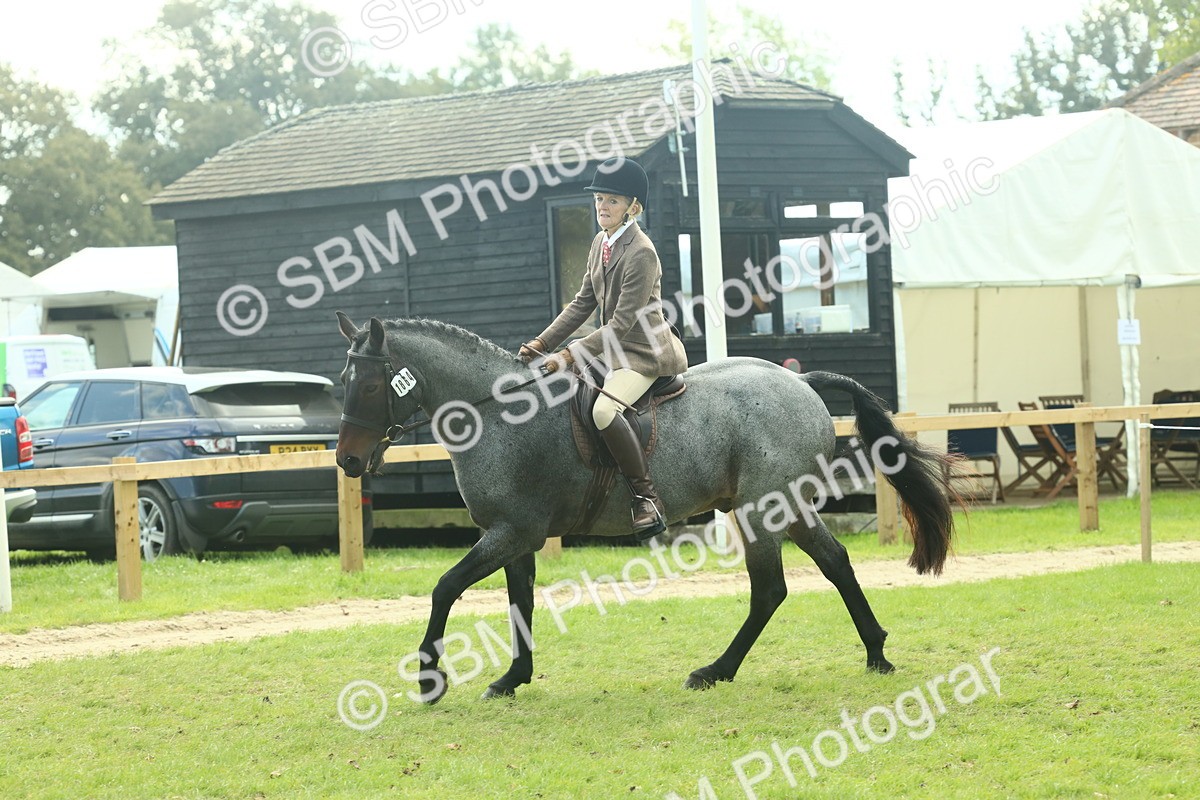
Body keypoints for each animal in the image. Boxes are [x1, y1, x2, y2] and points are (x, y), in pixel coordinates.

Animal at [334, 312, 955, 703]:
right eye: (344, 380)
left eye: (370, 386)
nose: (347, 461)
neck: (499, 412)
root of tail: (799, 381)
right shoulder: (516, 537)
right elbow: (519, 603)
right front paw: (513, 678)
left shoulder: (511, 532)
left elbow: (444, 588)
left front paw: (429, 679)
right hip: (787, 508)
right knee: (833, 565)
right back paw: (875, 653)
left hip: (762, 510)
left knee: (771, 590)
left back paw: (715, 671)